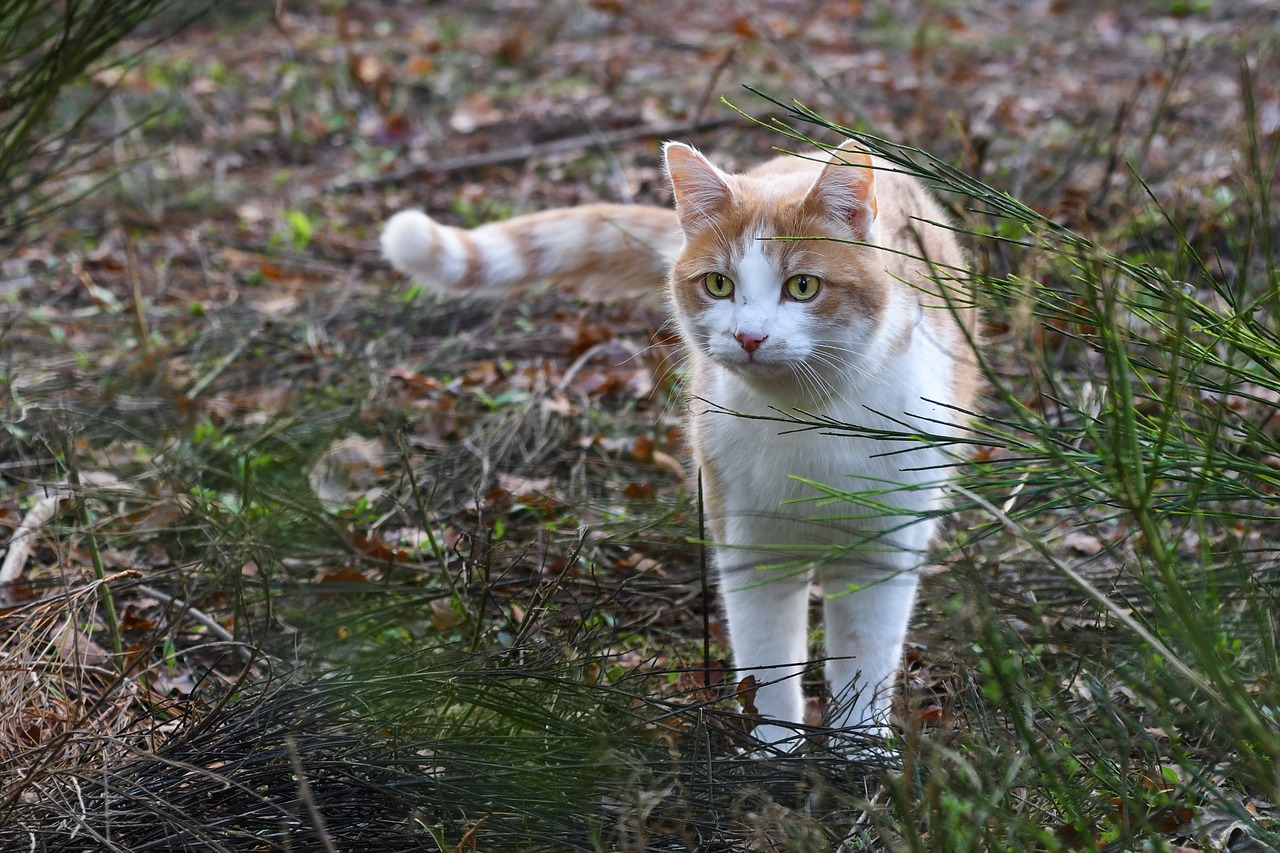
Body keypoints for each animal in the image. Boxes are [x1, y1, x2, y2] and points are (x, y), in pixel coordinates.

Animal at [378, 139, 977, 742]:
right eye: (719, 284)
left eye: (803, 287)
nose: (749, 336)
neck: (806, 420)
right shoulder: (751, 544)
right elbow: (767, 662)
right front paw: (772, 749)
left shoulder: (883, 550)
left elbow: (866, 662)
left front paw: (860, 751)